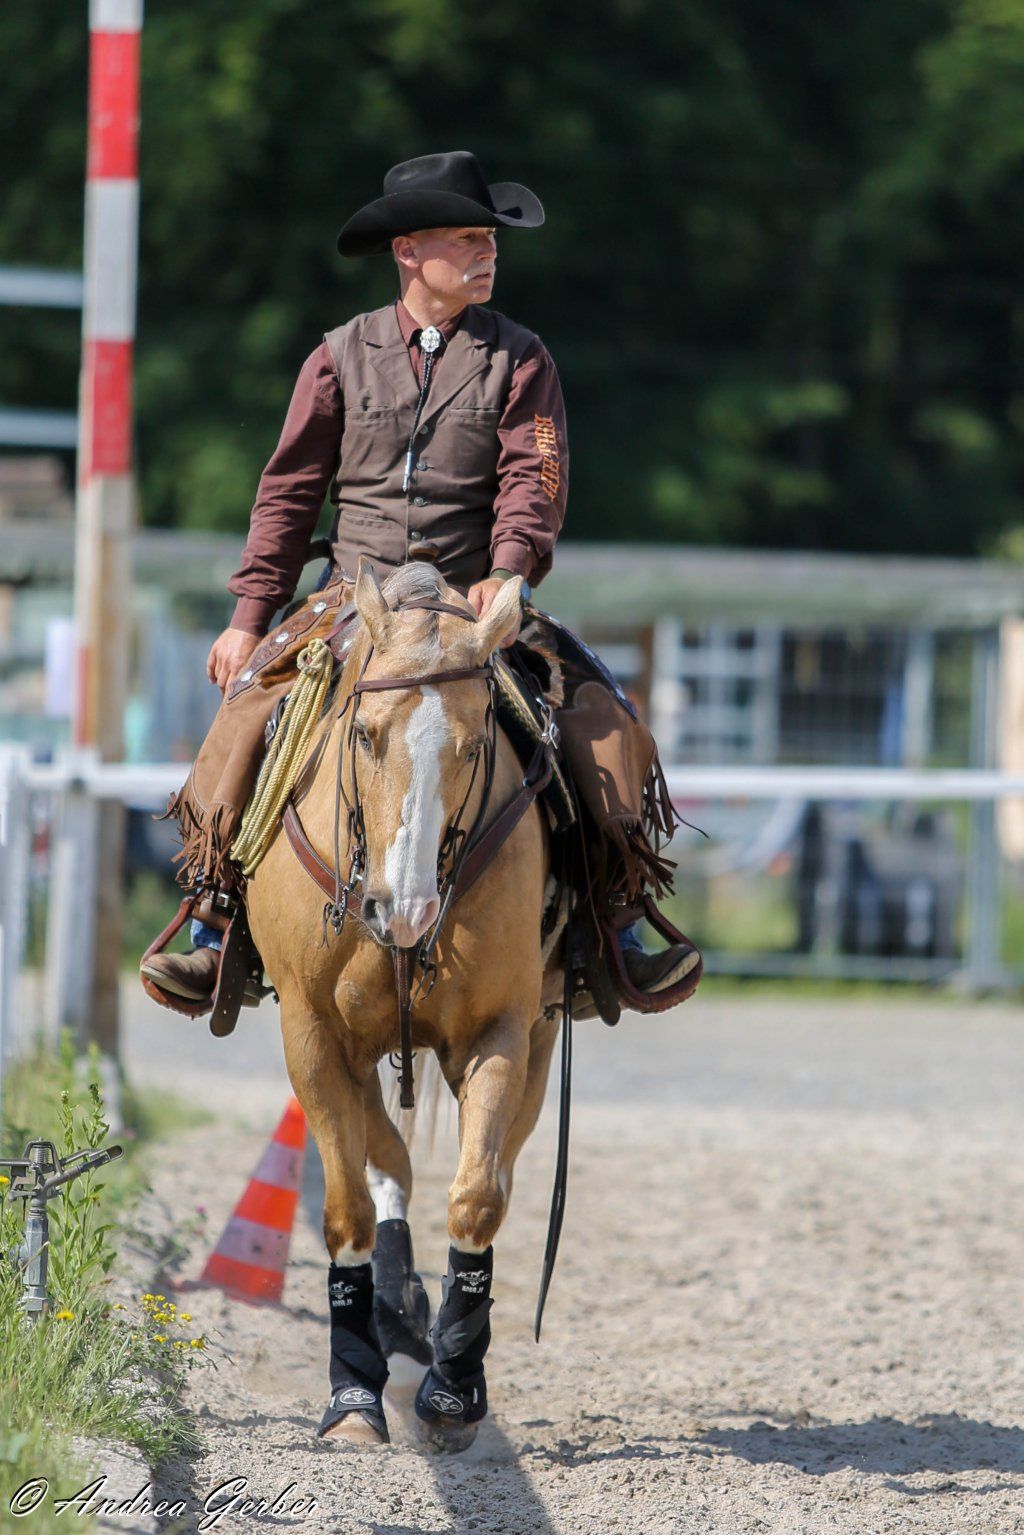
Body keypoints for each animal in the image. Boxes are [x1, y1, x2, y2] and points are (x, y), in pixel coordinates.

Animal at [246, 556, 562, 1451]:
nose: (406, 910)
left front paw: (453, 1386)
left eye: (474, 743)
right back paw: (394, 1308)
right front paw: (353, 1391)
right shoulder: (312, 1035)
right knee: (383, 1155)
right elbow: (349, 1207)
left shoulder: (503, 1032)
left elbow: (478, 1196)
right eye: (364, 734)